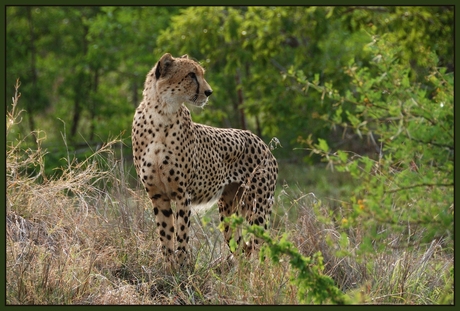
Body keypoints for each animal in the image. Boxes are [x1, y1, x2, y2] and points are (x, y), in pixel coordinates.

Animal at [131, 53, 278, 268]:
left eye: (201, 73)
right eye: (191, 75)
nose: (209, 92)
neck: (161, 114)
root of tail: (261, 141)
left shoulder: (183, 194)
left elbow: (182, 235)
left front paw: (182, 269)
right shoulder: (157, 195)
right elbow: (165, 235)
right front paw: (168, 269)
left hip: (257, 208)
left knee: (262, 248)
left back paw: (260, 276)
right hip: (228, 210)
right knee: (240, 248)